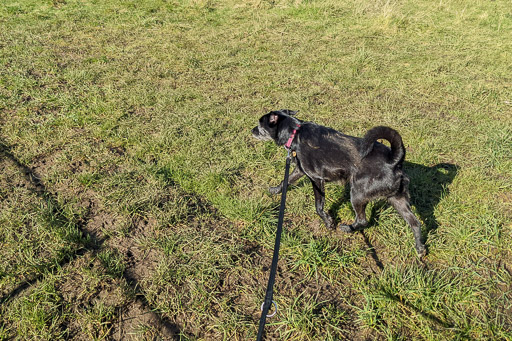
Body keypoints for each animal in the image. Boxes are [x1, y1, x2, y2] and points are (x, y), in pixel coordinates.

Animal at [253, 109, 428, 258]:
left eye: (260, 124)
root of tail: (394, 160)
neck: (294, 133)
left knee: (363, 220)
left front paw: (329, 222)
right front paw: (275, 190)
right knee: (415, 223)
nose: (252, 130)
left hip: (357, 194)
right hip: (397, 199)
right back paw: (420, 248)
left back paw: (348, 228)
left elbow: (318, 207)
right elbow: (286, 180)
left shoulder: (316, 179)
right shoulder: (299, 170)